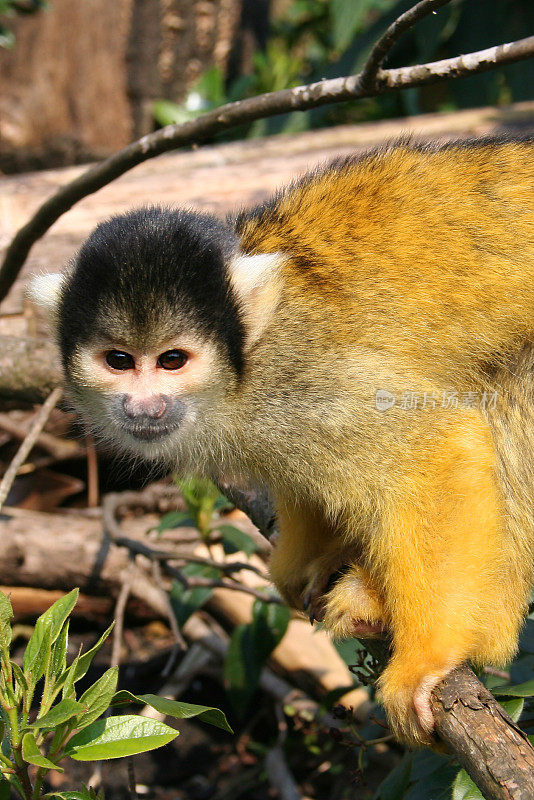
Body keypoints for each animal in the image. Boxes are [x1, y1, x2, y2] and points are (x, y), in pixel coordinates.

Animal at [28, 136, 534, 744]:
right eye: (119, 361)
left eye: (172, 360)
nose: (144, 406)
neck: (243, 369)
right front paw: (308, 558)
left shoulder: (300, 374)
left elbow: (437, 447)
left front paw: (429, 661)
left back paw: (487, 630)